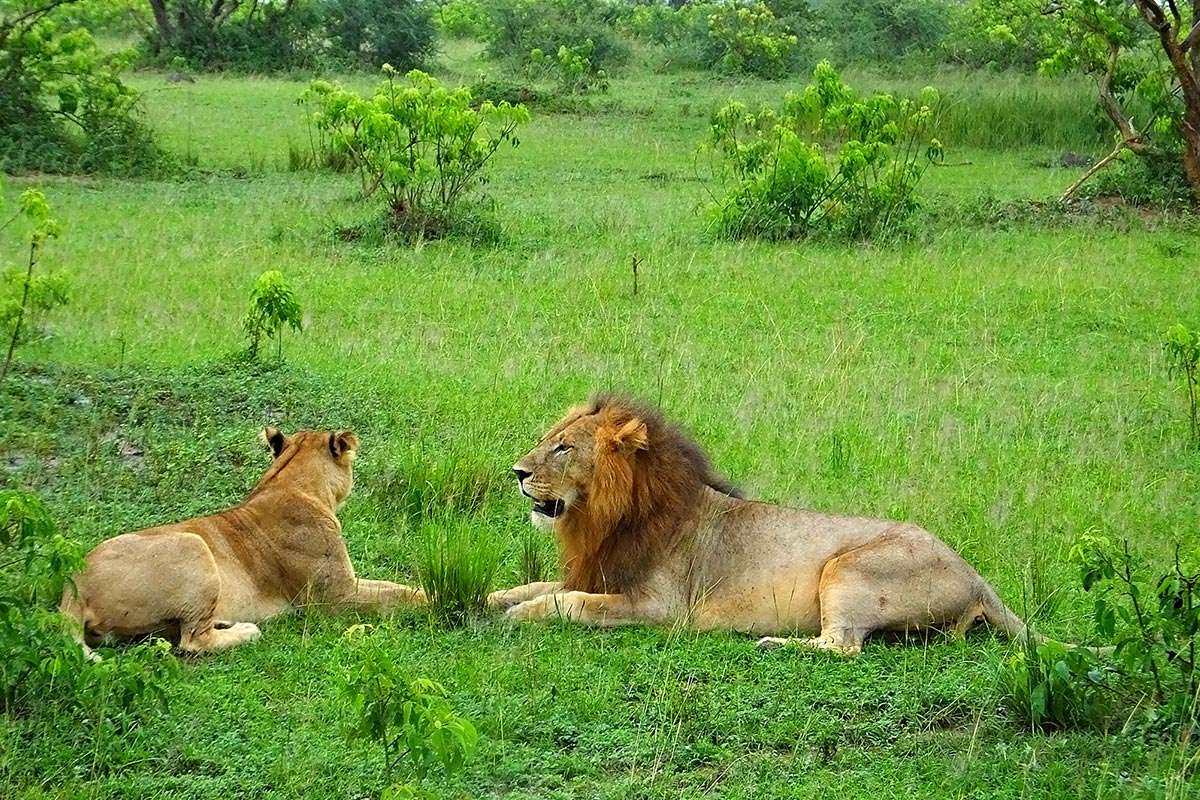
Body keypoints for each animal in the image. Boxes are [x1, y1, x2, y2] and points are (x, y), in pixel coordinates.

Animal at [60, 428, 424, 656]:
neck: (290, 483)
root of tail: (74, 583)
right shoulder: (335, 599)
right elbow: (398, 595)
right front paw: (434, 600)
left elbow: (396, 585)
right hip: (193, 543)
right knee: (192, 640)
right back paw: (247, 631)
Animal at [488, 395, 1038, 655]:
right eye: (548, 440)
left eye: (564, 448)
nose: (517, 472)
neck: (606, 518)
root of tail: (974, 574)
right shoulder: (597, 572)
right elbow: (535, 586)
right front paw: (491, 600)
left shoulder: (661, 608)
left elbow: (571, 603)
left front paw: (521, 616)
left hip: (847, 569)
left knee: (844, 646)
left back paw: (772, 644)